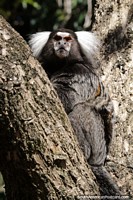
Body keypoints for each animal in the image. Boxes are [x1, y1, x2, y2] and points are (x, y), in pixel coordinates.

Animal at [28, 28, 121, 198]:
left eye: (68, 39)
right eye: (57, 38)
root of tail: (100, 160)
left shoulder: (78, 73)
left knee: (84, 109)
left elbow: (63, 99)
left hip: (98, 145)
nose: (62, 44)